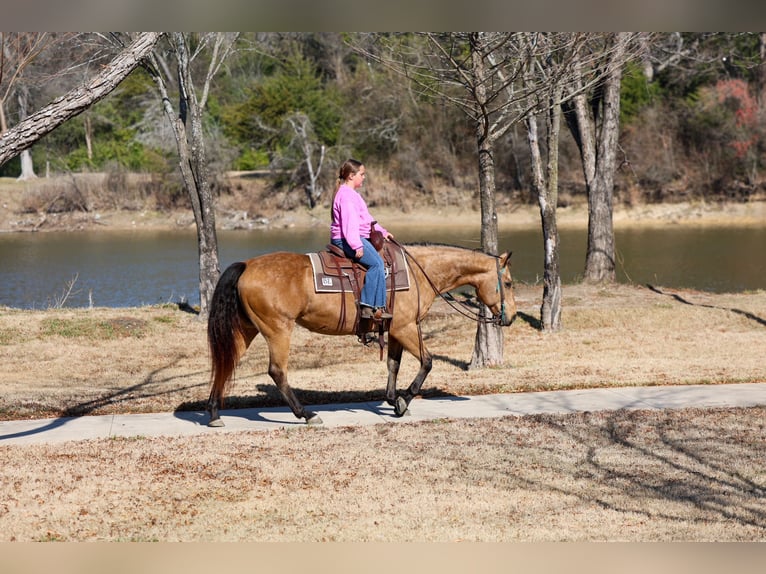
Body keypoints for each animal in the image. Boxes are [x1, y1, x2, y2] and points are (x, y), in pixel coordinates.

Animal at [206, 242, 517, 426]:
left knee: (226, 363)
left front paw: (393, 400)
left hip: (247, 329)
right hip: (278, 329)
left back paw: (214, 413)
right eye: (509, 283)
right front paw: (404, 400)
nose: (512, 317)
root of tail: (246, 265)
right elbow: (427, 362)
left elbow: (393, 364)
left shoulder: (396, 329)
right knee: (277, 371)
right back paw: (306, 414)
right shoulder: (406, 328)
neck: (419, 273)